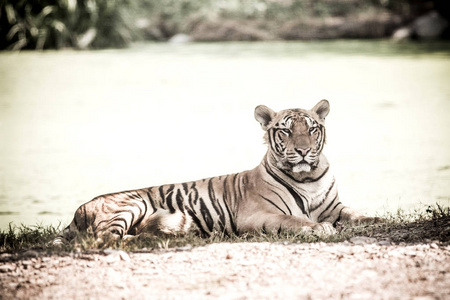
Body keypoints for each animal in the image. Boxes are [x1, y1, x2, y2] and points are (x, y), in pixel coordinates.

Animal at [54, 99, 378, 245]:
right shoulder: (258, 215)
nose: (302, 150)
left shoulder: (334, 207)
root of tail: (80, 208)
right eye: (286, 131)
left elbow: (356, 214)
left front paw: (374, 219)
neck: (307, 177)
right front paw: (319, 228)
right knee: (104, 238)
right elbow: (294, 220)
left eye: (311, 129)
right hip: (129, 205)